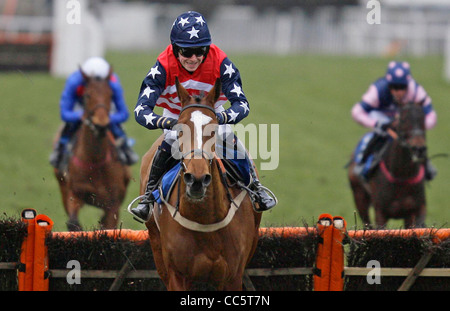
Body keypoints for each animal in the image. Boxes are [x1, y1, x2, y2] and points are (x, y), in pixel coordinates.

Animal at [142, 78, 262, 292]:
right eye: (180, 129)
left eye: (213, 129)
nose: (196, 179)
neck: (205, 218)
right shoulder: (177, 274)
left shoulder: (232, 276)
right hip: (155, 242)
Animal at [350, 100, 428, 229]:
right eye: (403, 119)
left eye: (423, 119)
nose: (419, 149)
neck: (402, 175)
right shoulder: (380, 213)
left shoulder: (416, 210)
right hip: (359, 196)